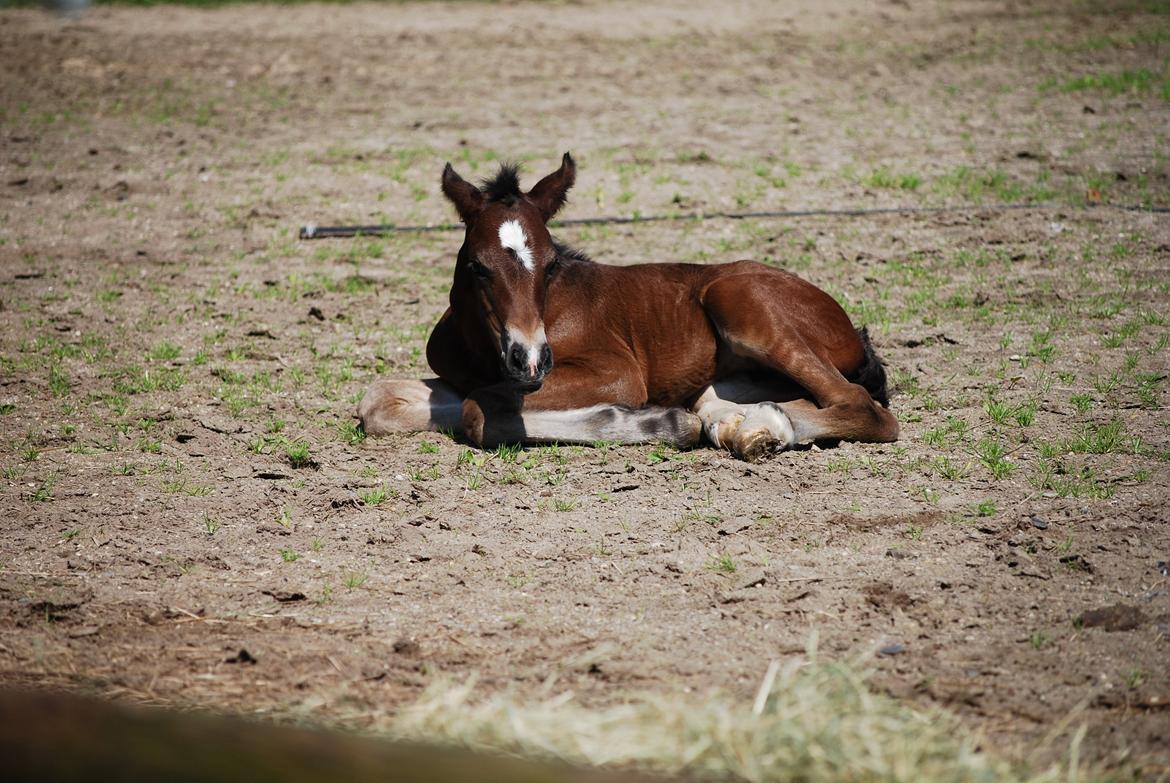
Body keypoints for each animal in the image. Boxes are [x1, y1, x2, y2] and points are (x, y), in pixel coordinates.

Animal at [355, 152, 893, 458]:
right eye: (477, 266)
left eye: (551, 264)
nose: (530, 360)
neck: (482, 349)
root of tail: (851, 327)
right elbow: (379, 401)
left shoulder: (618, 373)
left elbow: (476, 410)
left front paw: (657, 422)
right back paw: (742, 425)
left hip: (741, 300)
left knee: (862, 405)